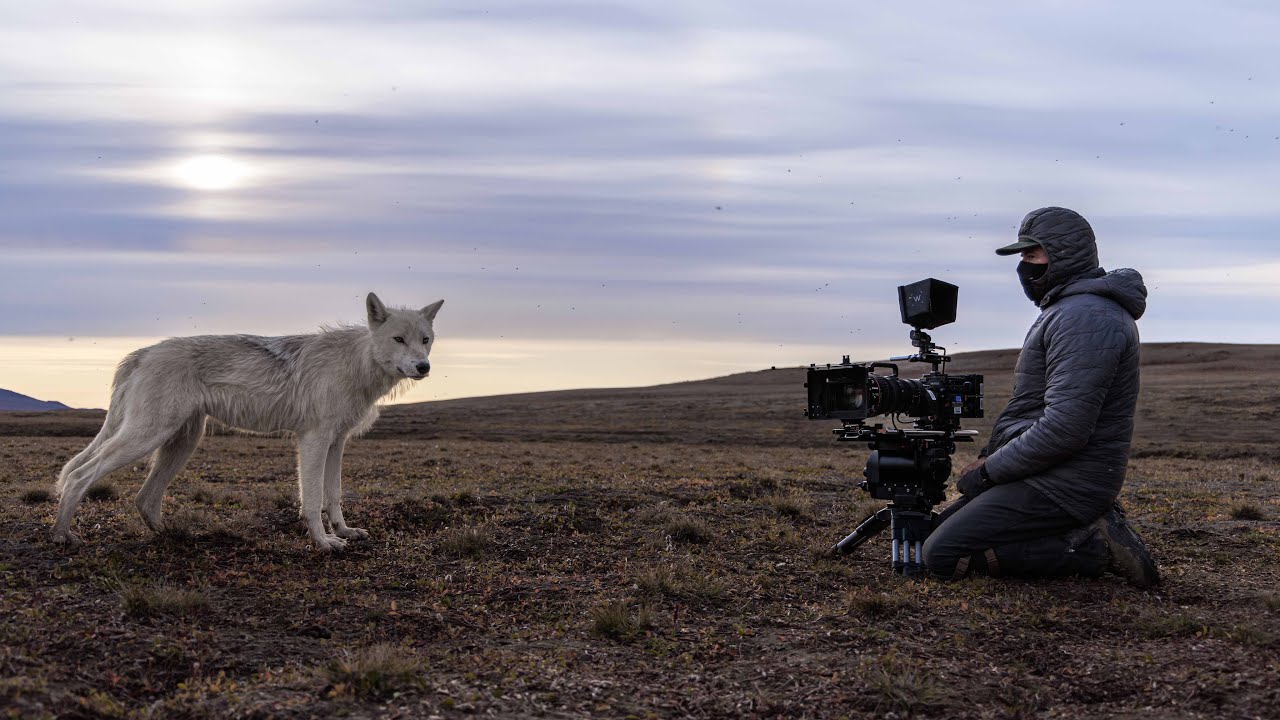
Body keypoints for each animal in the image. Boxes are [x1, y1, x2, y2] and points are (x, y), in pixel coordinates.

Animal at [52, 292, 443, 551]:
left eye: (425, 340)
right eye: (398, 339)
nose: (424, 367)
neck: (357, 364)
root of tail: (142, 353)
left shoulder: (337, 442)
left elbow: (334, 494)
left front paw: (344, 532)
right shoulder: (313, 440)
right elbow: (313, 498)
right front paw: (322, 541)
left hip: (180, 444)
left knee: (144, 498)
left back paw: (172, 536)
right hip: (146, 438)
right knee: (80, 475)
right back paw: (62, 534)